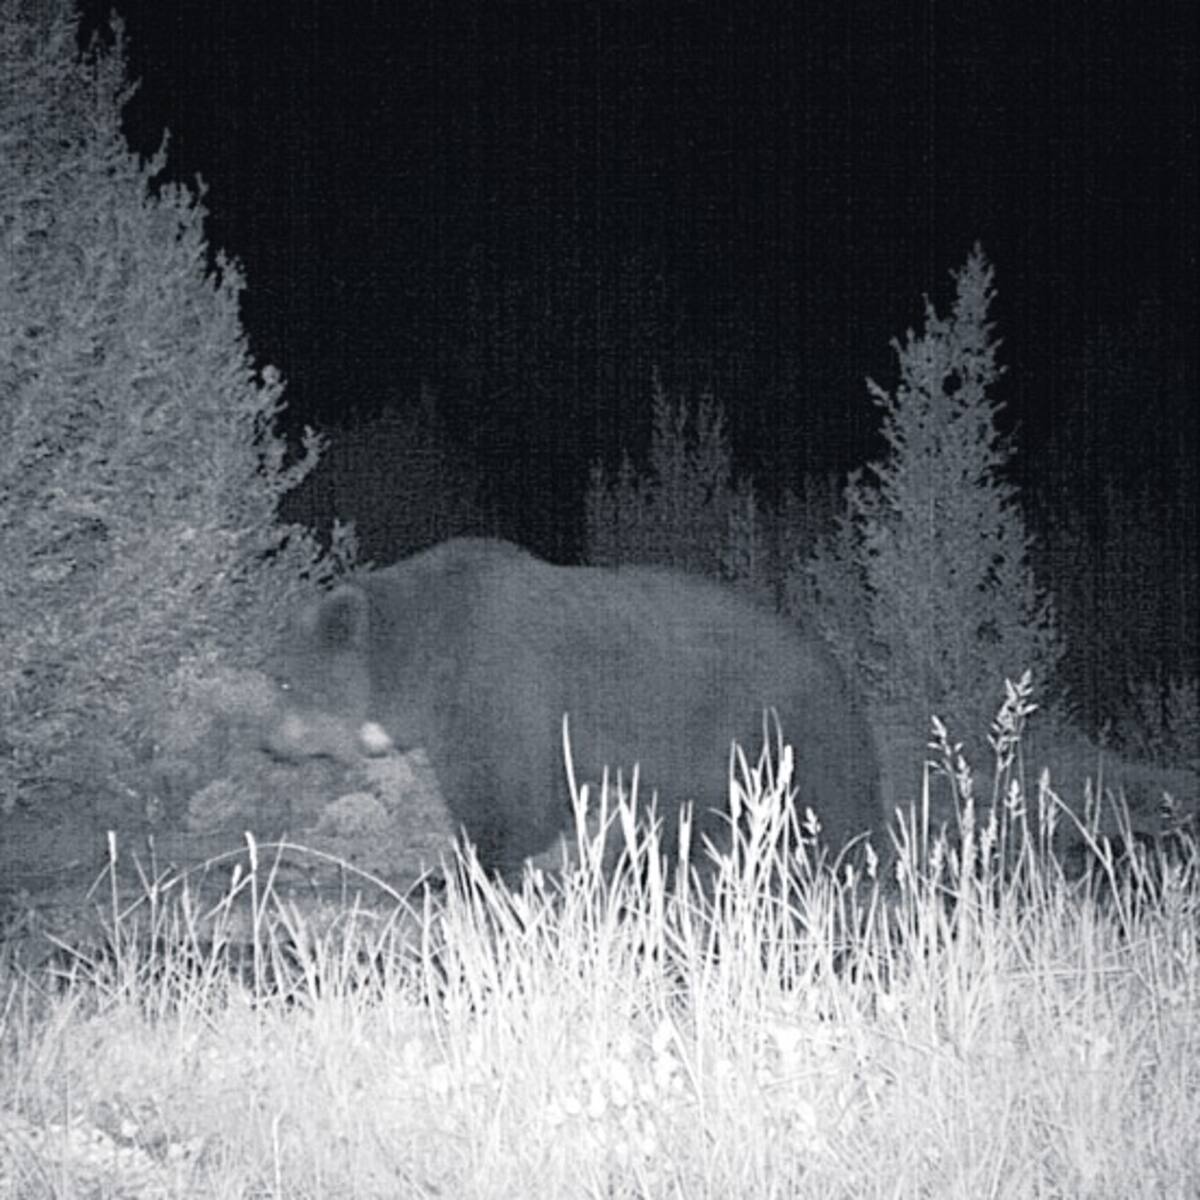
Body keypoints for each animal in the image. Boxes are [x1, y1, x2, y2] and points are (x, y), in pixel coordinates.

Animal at [263, 537, 881, 882]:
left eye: (287, 680)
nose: (269, 743)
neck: (426, 658)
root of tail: (830, 662)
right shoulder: (457, 719)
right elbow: (474, 785)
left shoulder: (504, 684)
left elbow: (517, 795)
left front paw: (470, 868)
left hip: (769, 718)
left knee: (825, 797)